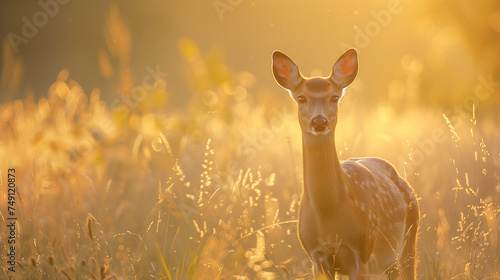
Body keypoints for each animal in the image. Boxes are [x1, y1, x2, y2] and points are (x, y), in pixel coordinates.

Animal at [272, 49, 420, 278]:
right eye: (301, 97)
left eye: (334, 97)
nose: (319, 121)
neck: (328, 214)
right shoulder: (316, 256)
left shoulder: (362, 250)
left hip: (407, 243)